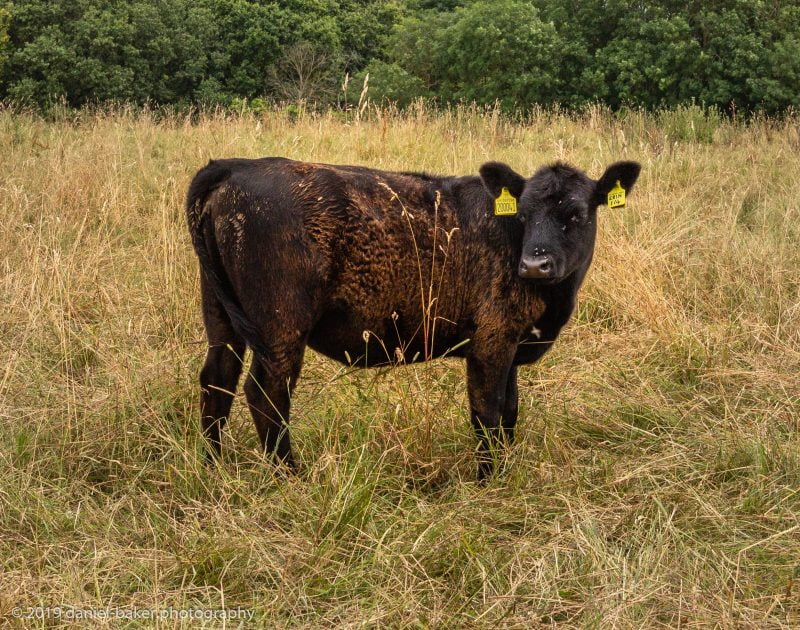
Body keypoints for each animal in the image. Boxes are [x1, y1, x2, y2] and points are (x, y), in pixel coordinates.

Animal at [186, 157, 640, 481]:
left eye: (577, 214)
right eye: (523, 215)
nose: (534, 265)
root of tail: (237, 165)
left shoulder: (511, 345)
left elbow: (510, 412)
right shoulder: (492, 341)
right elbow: (488, 414)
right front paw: (488, 481)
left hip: (222, 318)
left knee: (217, 379)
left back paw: (213, 467)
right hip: (281, 327)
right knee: (266, 394)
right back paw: (290, 476)